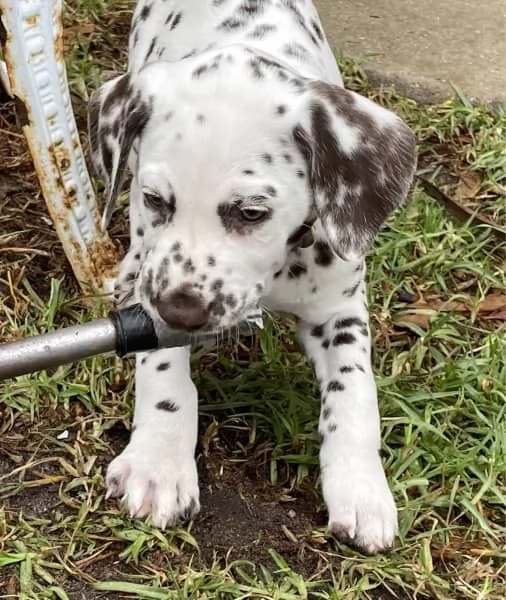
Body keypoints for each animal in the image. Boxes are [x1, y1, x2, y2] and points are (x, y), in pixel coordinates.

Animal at [89, 0, 418, 552]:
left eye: (251, 212)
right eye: (155, 200)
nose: (180, 310)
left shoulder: (340, 310)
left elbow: (355, 395)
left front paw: (361, 488)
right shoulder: (156, 289)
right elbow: (164, 372)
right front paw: (159, 461)